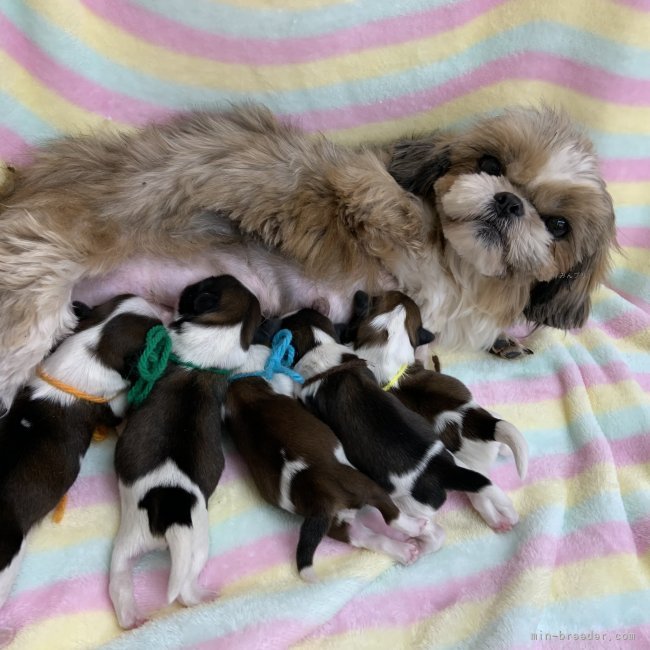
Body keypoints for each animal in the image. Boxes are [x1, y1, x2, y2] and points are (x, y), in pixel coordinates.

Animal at [107, 274, 256, 628]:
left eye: (202, 285)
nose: (186, 285)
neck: (203, 361)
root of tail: (170, 512)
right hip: (165, 545)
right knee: (138, 583)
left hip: (167, 541)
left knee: (170, 588)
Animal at [223, 330, 430, 576]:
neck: (244, 383)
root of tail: (323, 499)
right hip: (365, 486)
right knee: (392, 517)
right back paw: (416, 527)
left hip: (335, 523)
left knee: (363, 537)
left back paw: (404, 552)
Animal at [276, 308, 520, 548]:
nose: (277, 318)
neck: (321, 350)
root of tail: (442, 469)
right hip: (459, 459)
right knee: (482, 487)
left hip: (408, 503)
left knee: (434, 526)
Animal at [340, 288, 528, 528]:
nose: (402, 291)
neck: (387, 337)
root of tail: (481, 424)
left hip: (469, 466)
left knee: (480, 496)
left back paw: (496, 519)